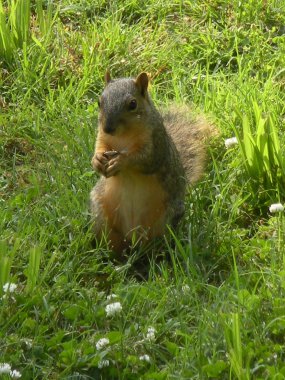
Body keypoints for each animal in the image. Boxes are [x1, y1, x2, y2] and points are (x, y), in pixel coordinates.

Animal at [90, 72, 214, 254]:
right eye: (99, 102)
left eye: (133, 104)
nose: (108, 128)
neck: (122, 136)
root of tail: (132, 236)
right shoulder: (102, 138)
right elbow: (99, 148)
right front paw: (97, 160)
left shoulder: (156, 144)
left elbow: (145, 159)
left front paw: (121, 161)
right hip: (101, 215)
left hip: (165, 219)